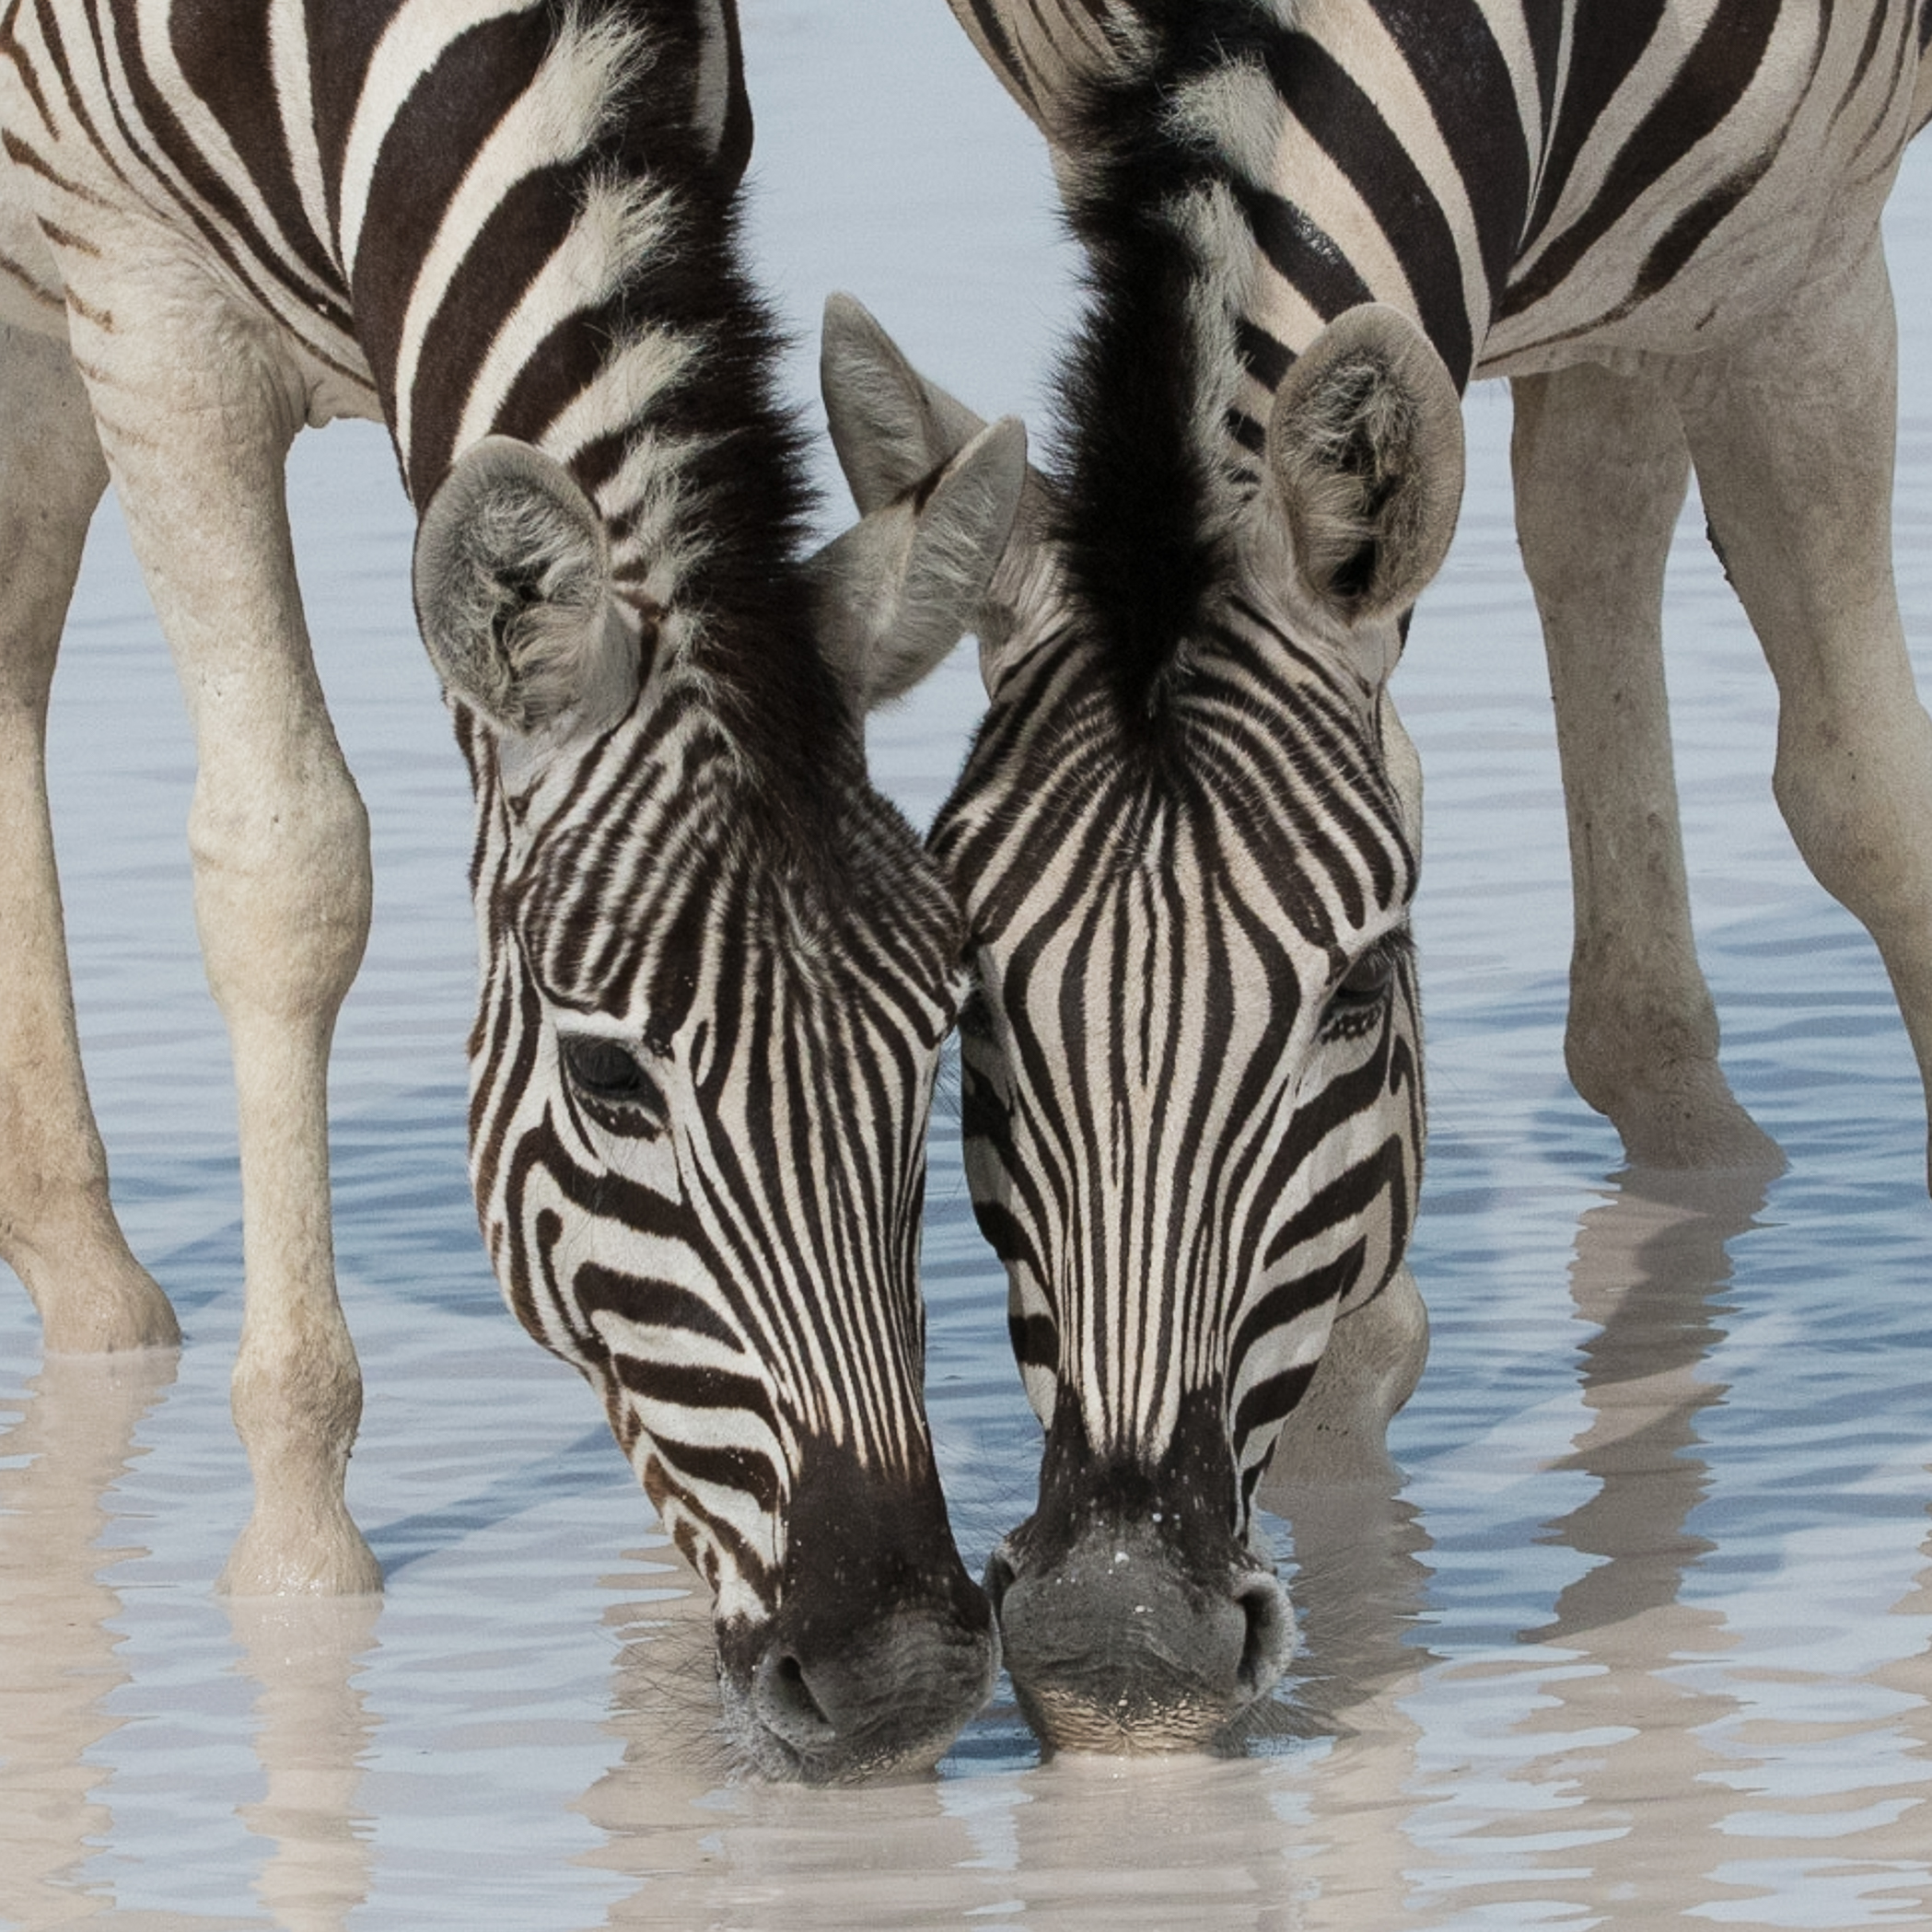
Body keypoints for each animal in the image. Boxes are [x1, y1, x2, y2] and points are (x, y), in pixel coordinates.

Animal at [0, 0, 1028, 1777]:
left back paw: (78, 1263)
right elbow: (287, 855)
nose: (896, 1676)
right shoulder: (145, 299)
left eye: (938, 1035)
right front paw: (297, 1532)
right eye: (610, 1079)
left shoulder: (696, 153)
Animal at [822, 0, 1932, 1753]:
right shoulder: (1098, 130)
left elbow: (1864, 800)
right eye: (966, 997)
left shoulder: (1803, 266)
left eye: (1356, 990)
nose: (1113, 1639)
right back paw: (1673, 1105)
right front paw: (1348, 1438)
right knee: (1590, 489)